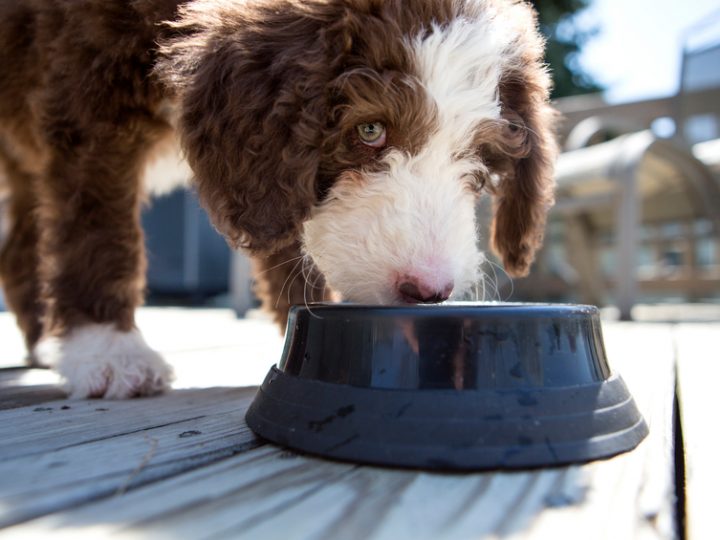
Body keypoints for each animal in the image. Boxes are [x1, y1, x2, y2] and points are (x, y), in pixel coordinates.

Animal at [0, 0, 556, 396]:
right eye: (370, 130)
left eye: (478, 156)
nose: (429, 290)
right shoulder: (89, 104)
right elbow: (99, 228)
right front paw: (109, 350)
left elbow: (286, 230)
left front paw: (305, 322)